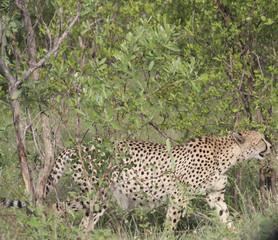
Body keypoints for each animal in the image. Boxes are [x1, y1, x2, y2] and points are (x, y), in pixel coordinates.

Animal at [2, 130, 272, 232]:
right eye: (260, 139)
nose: (270, 146)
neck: (228, 154)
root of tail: (77, 145)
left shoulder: (214, 195)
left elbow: (226, 218)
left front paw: (238, 233)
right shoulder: (179, 195)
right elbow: (170, 223)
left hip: (98, 199)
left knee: (85, 223)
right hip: (94, 192)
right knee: (58, 207)